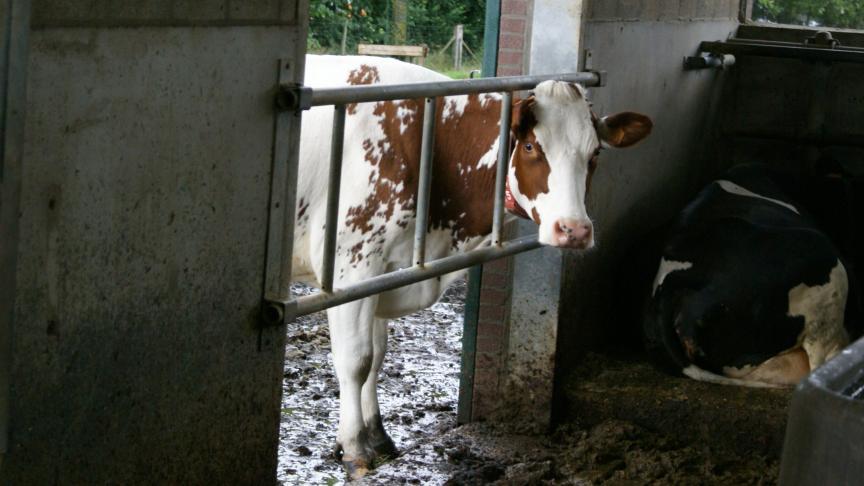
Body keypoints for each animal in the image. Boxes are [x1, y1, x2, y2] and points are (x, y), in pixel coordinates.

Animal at [294, 54, 652, 478]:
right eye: (530, 146)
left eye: (595, 153)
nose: (574, 230)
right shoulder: (352, 264)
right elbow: (356, 360)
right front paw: (354, 448)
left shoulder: (385, 272)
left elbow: (378, 355)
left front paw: (377, 435)